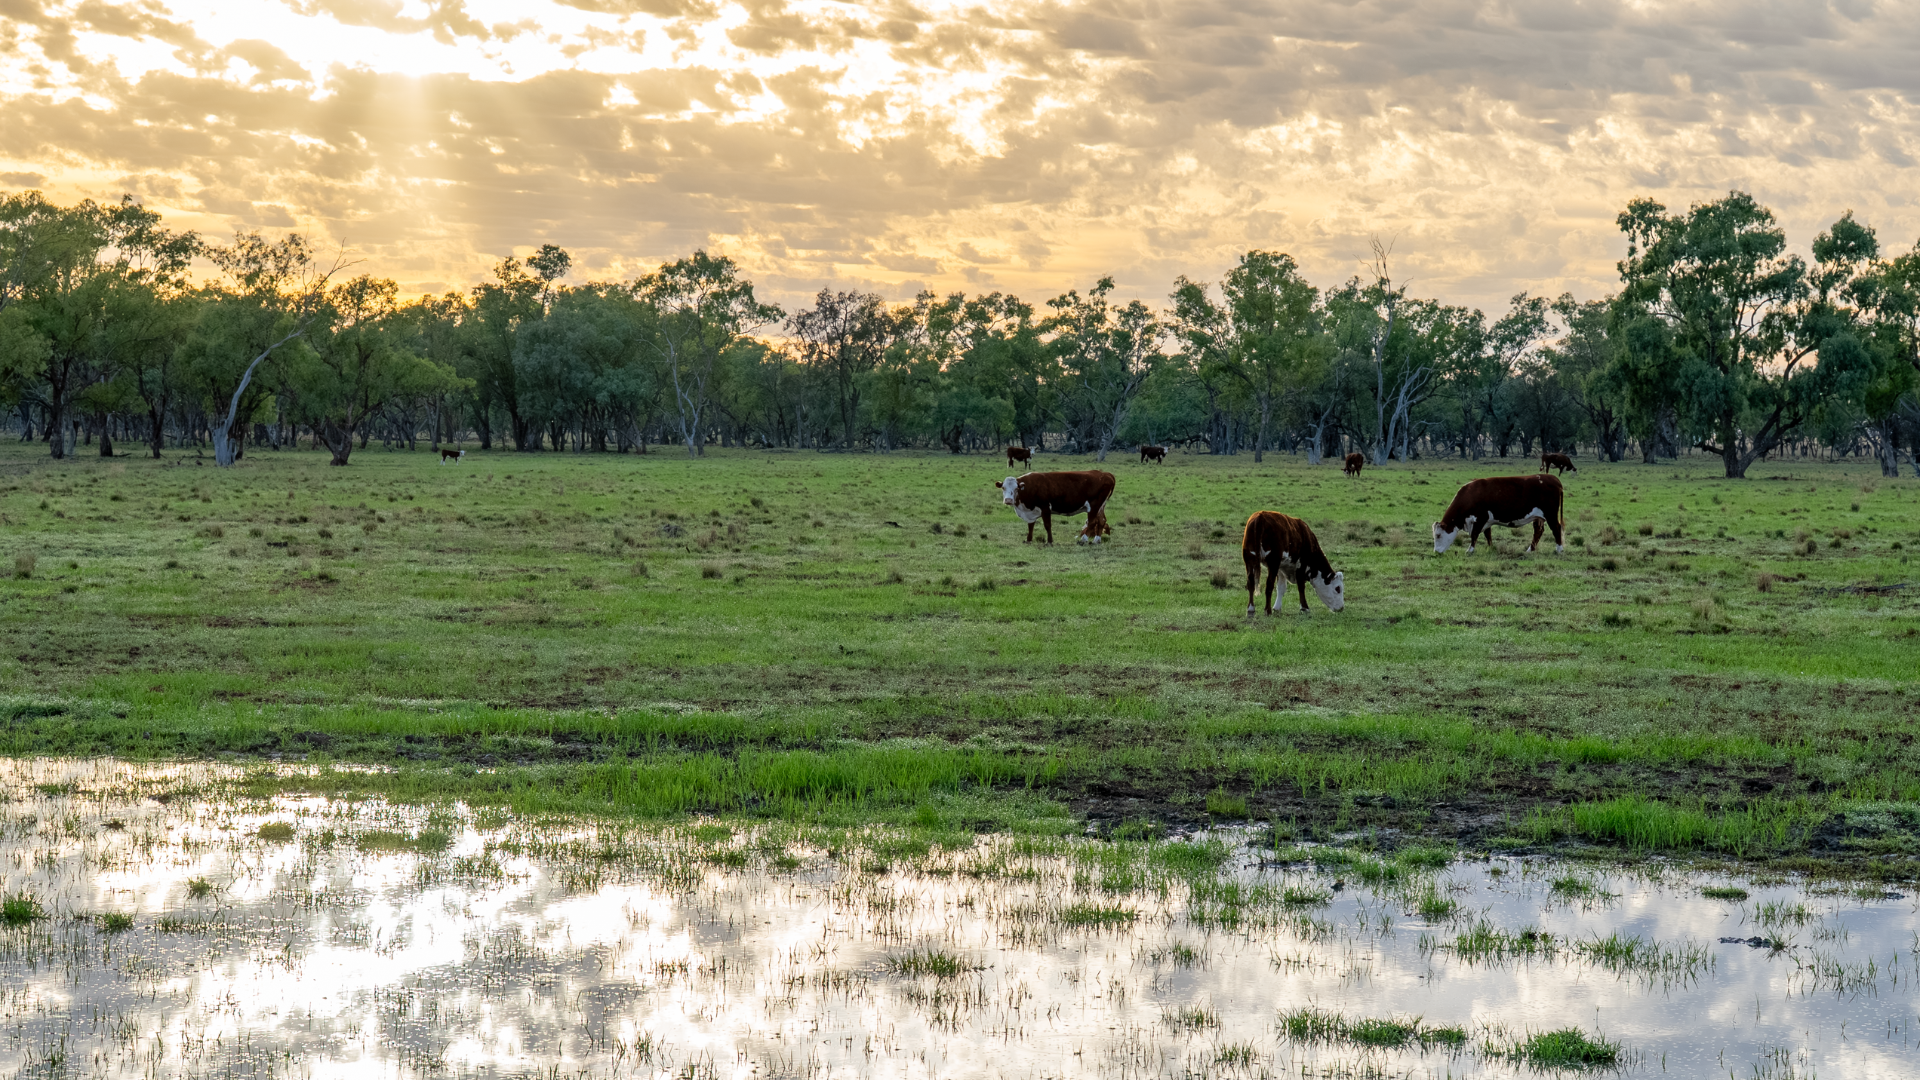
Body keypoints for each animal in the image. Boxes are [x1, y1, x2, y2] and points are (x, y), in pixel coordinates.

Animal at [1432, 474, 1566, 555]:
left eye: (1438, 535)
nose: (1436, 552)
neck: (1471, 495)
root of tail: (1552, 478)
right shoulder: (1486, 521)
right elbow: (1488, 535)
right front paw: (1490, 548)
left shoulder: (1480, 518)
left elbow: (1474, 535)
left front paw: (1470, 550)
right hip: (1538, 517)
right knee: (1538, 531)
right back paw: (1530, 550)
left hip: (1550, 514)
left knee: (1556, 528)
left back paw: (1559, 549)